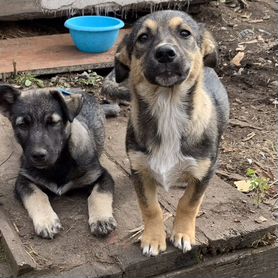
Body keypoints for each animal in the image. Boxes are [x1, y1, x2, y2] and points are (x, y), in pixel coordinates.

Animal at [0, 87, 116, 239]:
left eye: (53, 122)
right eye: (22, 125)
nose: (38, 155)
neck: (58, 164)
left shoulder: (101, 175)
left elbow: (99, 194)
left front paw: (101, 219)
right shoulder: (24, 179)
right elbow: (37, 196)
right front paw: (46, 221)